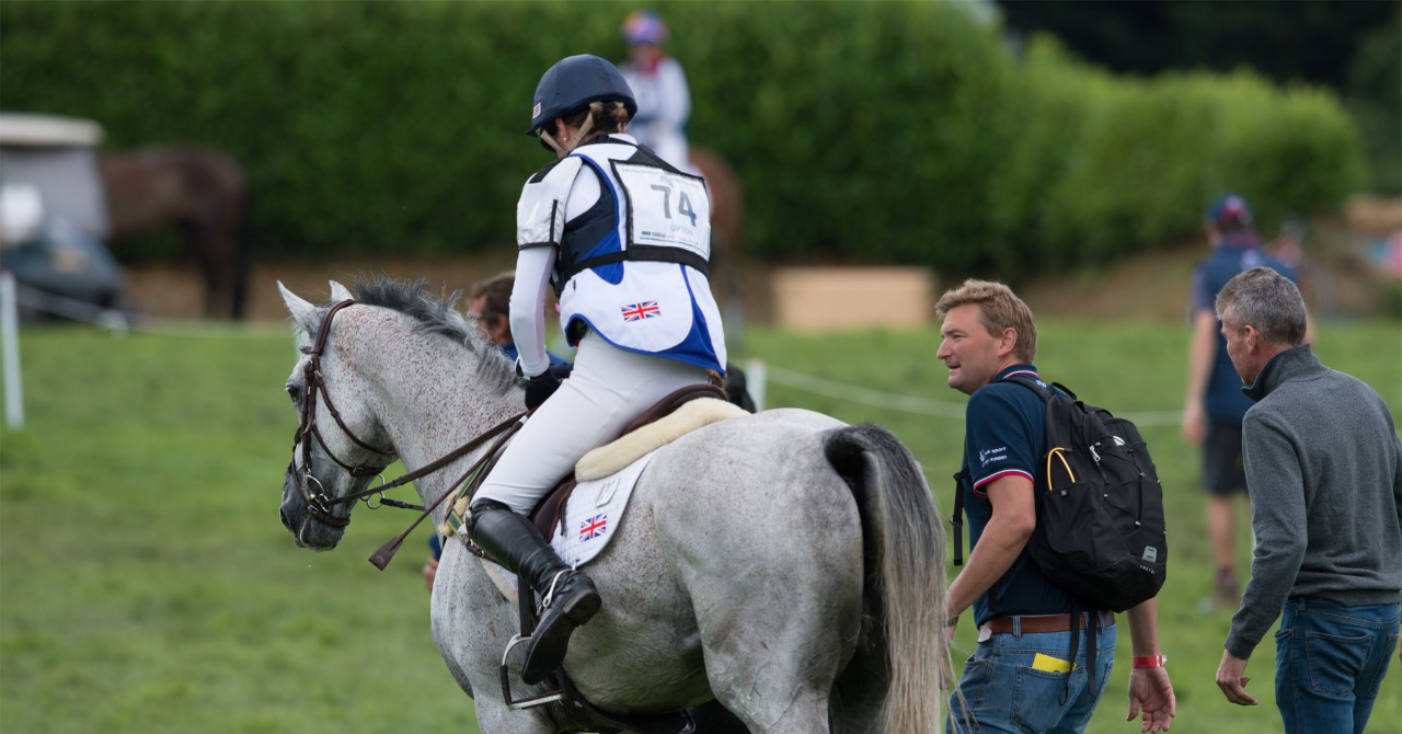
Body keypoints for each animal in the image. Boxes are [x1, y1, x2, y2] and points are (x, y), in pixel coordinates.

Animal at [98, 147, 249, 320]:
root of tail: (234, 172)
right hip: (197, 234)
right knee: (217, 275)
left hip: (215, 234)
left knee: (223, 275)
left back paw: (216, 318)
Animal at [275, 278, 946, 733]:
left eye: (293, 391)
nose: (291, 509)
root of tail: (833, 443)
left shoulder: (505, 710)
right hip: (864, 692)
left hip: (774, 696)